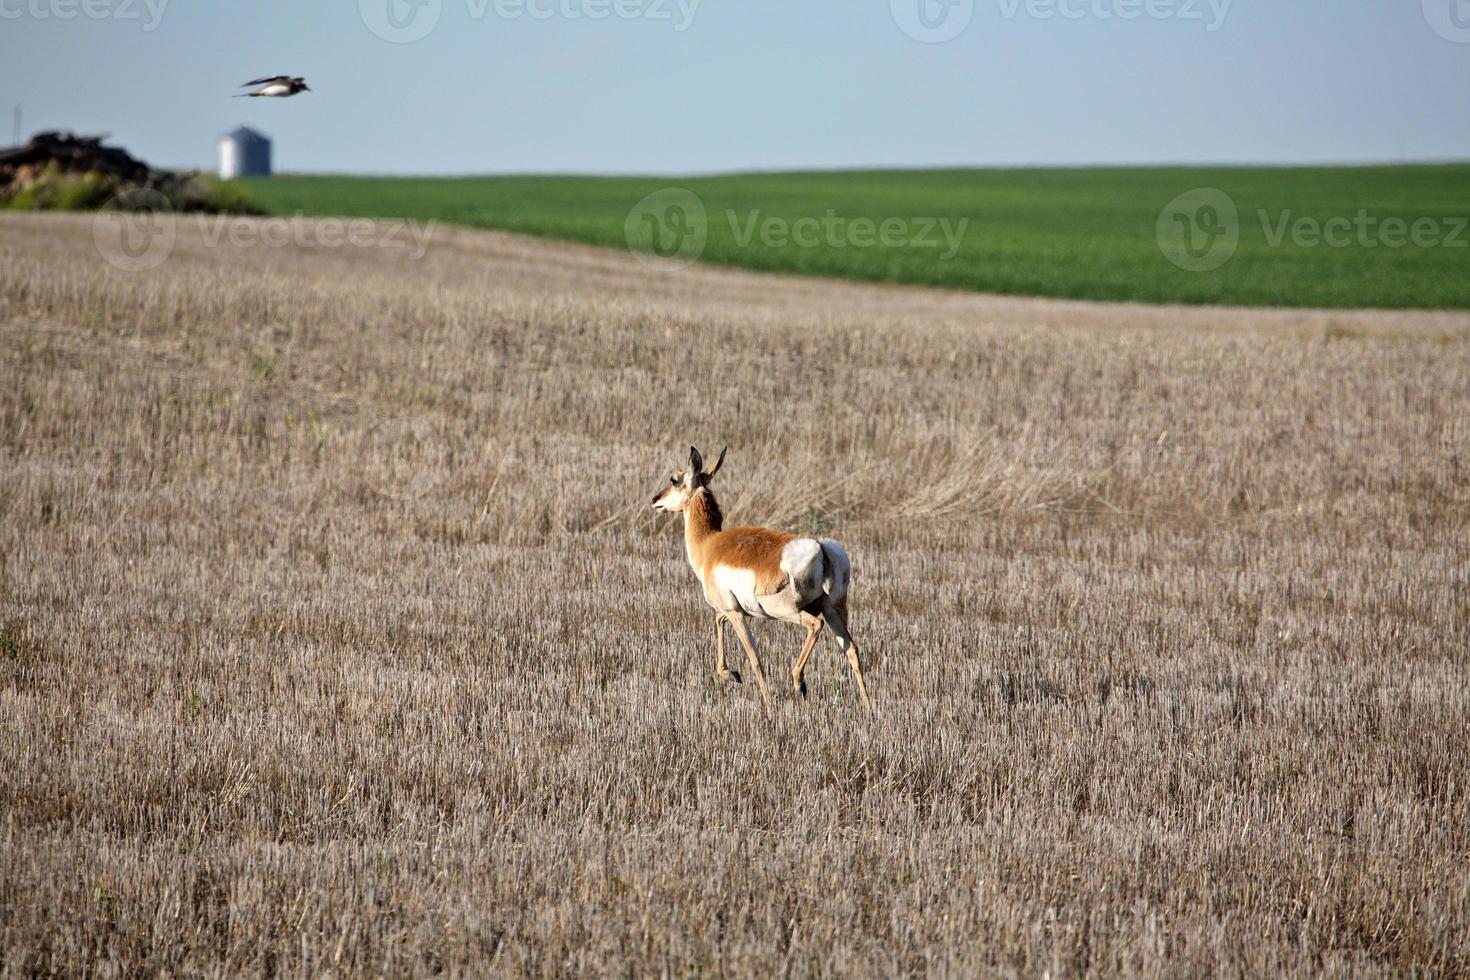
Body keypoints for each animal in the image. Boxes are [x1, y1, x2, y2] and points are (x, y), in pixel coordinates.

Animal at [646, 449, 870, 717]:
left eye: (675, 479)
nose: (655, 500)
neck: (709, 543)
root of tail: (820, 547)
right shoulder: (734, 610)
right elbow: (718, 621)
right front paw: (731, 674)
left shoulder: (735, 612)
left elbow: (754, 657)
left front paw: (768, 707)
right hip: (834, 610)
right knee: (851, 649)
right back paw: (870, 709)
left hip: (784, 610)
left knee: (815, 625)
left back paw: (799, 683)